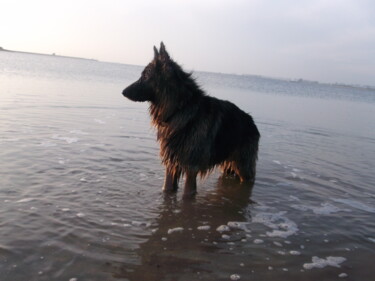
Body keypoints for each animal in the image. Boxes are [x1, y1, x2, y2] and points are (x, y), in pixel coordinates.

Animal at [122, 42, 260, 197]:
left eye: (145, 76)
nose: (123, 92)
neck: (179, 109)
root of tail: (252, 122)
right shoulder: (171, 165)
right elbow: (167, 189)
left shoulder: (191, 169)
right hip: (228, 165)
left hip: (244, 168)